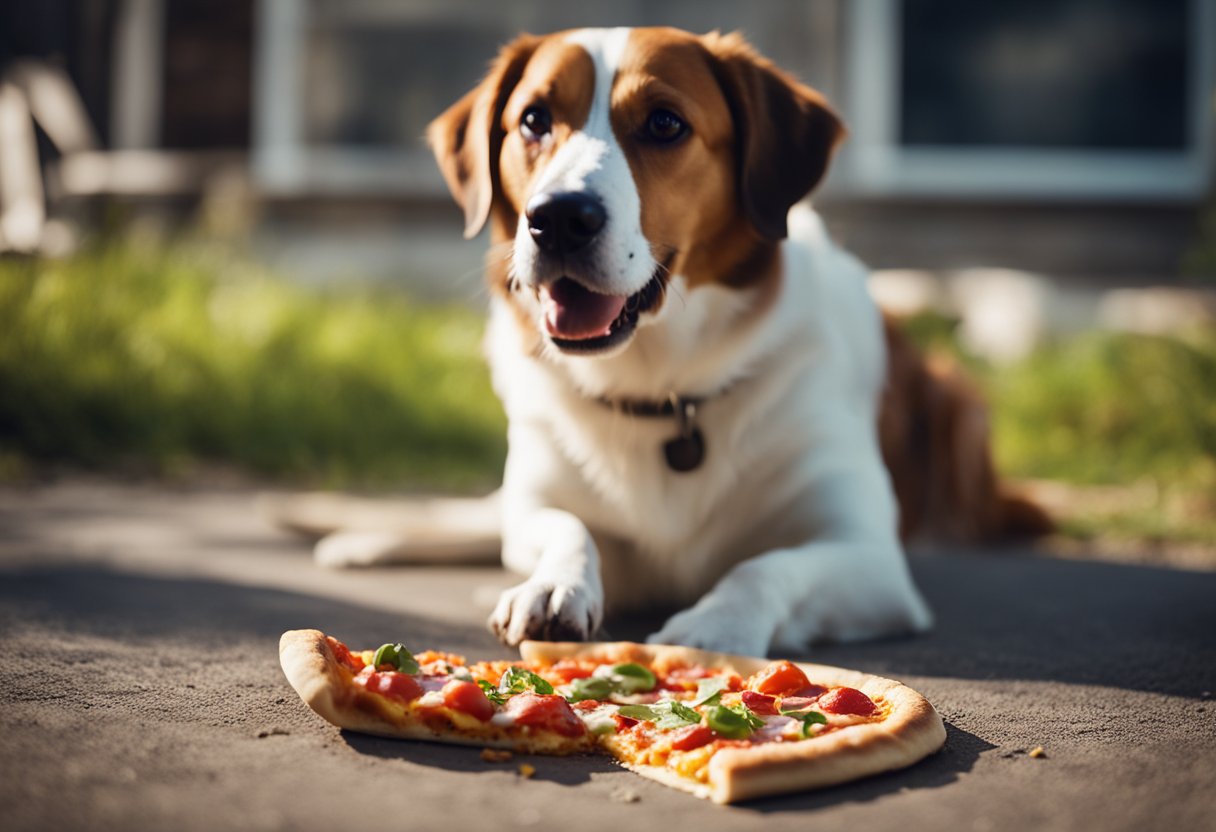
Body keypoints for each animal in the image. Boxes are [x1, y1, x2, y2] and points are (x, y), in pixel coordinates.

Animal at [289, 26, 1050, 656]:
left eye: (664, 123)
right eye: (533, 120)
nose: (556, 218)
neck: (661, 385)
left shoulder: (869, 557)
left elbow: (767, 565)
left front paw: (716, 622)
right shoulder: (541, 501)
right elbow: (562, 526)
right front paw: (553, 584)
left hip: (959, 403)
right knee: (478, 518)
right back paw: (362, 540)